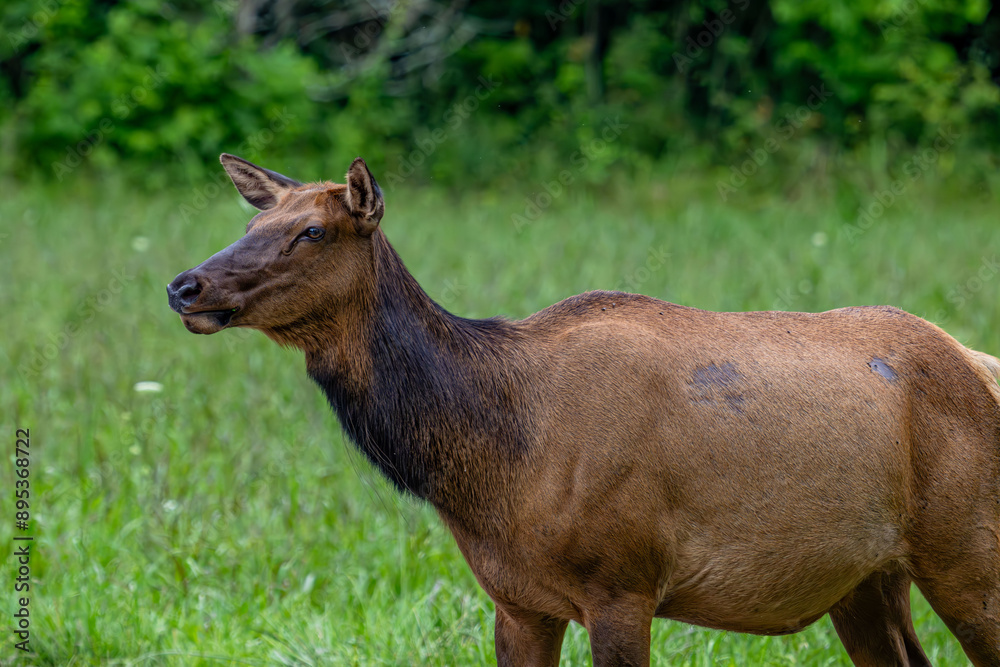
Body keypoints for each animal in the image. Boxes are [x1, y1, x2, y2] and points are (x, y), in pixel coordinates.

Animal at [167, 154, 1000, 666]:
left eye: (312, 230)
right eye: (250, 225)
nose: (184, 285)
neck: (492, 460)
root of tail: (978, 361)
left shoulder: (623, 580)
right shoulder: (517, 601)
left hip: (968, 547)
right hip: (866, 576)